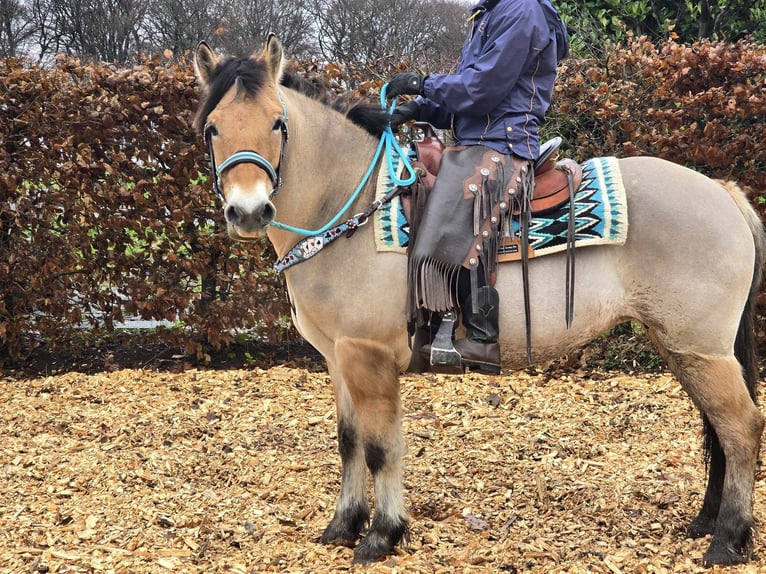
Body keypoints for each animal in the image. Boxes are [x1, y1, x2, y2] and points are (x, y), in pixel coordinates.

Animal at [189, 35, 764, 568]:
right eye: (212, 127)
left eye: (277, 123)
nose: (248, 211)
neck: (351, 204)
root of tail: (722, 191)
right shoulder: (338, 358)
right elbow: (349, 441)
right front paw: (343, 525)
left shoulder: (368, 357)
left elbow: (381, 446)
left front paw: (382, 535)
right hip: (681, 347)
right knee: (718, 427)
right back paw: (706, 522)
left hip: (701, 350)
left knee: (741, 427)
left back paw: (726, 541)